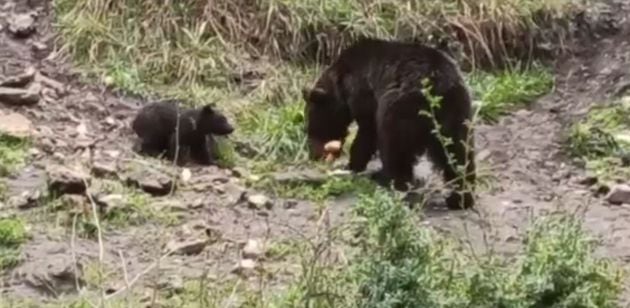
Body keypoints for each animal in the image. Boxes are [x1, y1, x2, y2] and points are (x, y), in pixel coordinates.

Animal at [304, 36, 476, 209]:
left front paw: (352, 164)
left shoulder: (363, 92)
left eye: (311, 124)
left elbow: (367, 133)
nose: (313, 155)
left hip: (399, 108)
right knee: (460, 153)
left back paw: (392, 182)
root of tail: (438, 88)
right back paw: (460, 198)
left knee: (395, 147)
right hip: (457, 113)